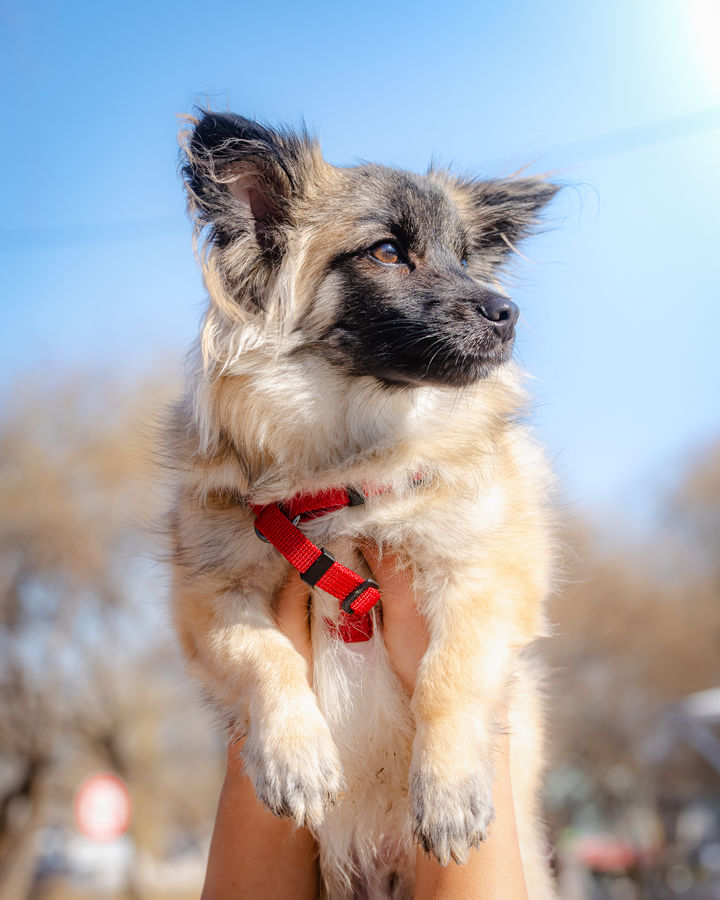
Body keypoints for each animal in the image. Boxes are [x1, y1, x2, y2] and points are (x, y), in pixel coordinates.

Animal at [167, 112, 556, 900]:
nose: (509, 313)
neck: (350, 461)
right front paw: (294, 757)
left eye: (467, 259)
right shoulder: (208, 601)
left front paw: (448, 791)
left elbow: (448, 673)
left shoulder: (487, 579)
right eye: (387, 253)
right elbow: (265, 656)